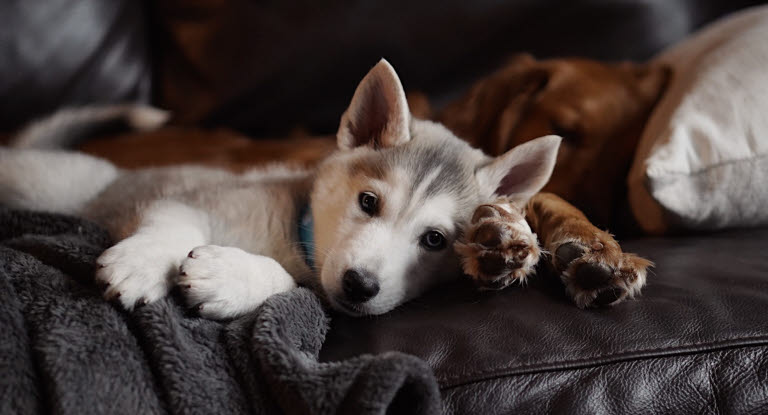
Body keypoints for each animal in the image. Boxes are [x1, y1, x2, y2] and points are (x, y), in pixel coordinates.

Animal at [0, 59, 560, 318]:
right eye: (368, 202)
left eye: (435, 240)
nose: (360, 285)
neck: (296, 235)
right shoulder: (194, 197)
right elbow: (173, 223)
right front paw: (143, 262)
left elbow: (291, 285)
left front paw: (230, 277)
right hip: (46, 183)